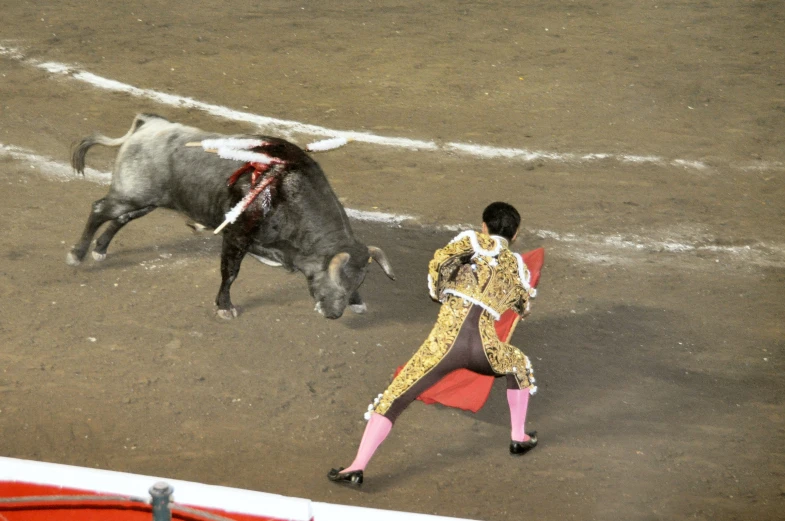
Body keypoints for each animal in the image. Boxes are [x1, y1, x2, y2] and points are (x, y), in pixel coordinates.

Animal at [67, 111, 396, 318]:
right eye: (334, 280)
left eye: (358, 282)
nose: (334, 314)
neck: (287, 193)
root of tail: (149, 123)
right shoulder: (235, 236)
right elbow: (230, 272)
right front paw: (225, 306)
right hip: (130, 194)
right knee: (100, 210)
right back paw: (77, 254)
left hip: (146, 201)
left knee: (119, 220)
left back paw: (100, 250)